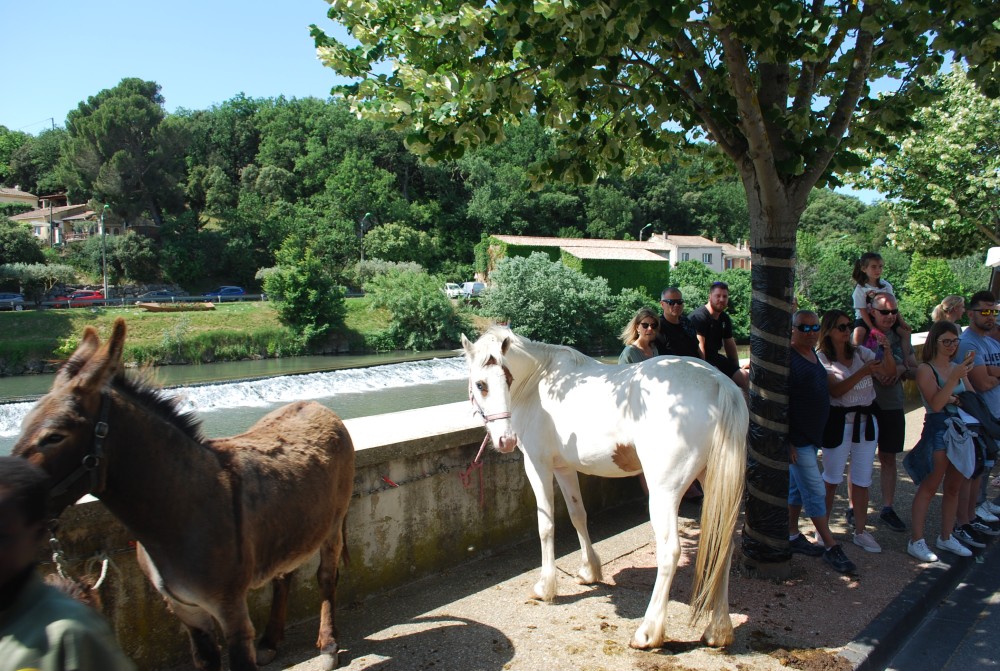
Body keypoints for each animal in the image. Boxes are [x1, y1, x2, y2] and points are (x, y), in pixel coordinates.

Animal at [464, 328, 748, 648]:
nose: (506, 440)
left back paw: (648, 632)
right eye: (481, 384)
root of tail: (719, 383)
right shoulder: (564, 468)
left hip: (664, 493)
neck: (538, 382)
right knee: (723, 544)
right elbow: (578, 516)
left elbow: (546, 525)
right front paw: (589, 570)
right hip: (712, 480)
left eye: (506, 379)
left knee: (669, 552)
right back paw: (718, 630)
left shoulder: (537, 465)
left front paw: (545, 587)